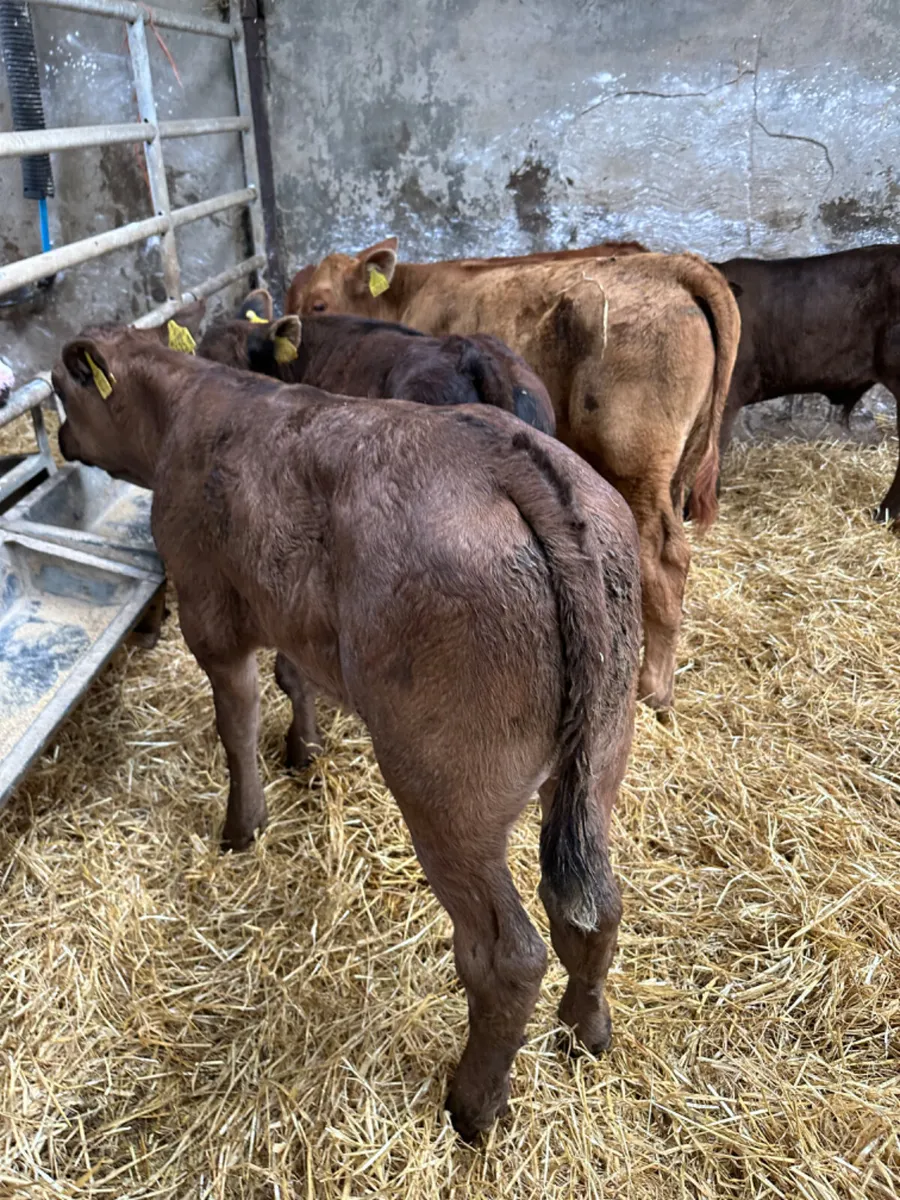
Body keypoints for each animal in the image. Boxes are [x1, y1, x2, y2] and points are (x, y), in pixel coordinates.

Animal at [52, 324, 642, 1140]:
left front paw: (243, 824)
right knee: (593, 908)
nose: (57, 441)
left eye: (60, 391)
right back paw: (586, 1033)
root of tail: (512, 458)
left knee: (506, 953)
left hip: (448, 788)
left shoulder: (210, 609)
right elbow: (295, 680)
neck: (193, 407)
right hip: (599, 753)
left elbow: (236, 721)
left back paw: (472, 1106)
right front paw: (304, 752)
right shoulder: (292, 617)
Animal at [286, 238, 741, 713]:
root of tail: (673, 265)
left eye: (319, 303)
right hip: (674, 469)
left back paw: (652, 688)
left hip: (634, 464)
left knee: (664, 560)